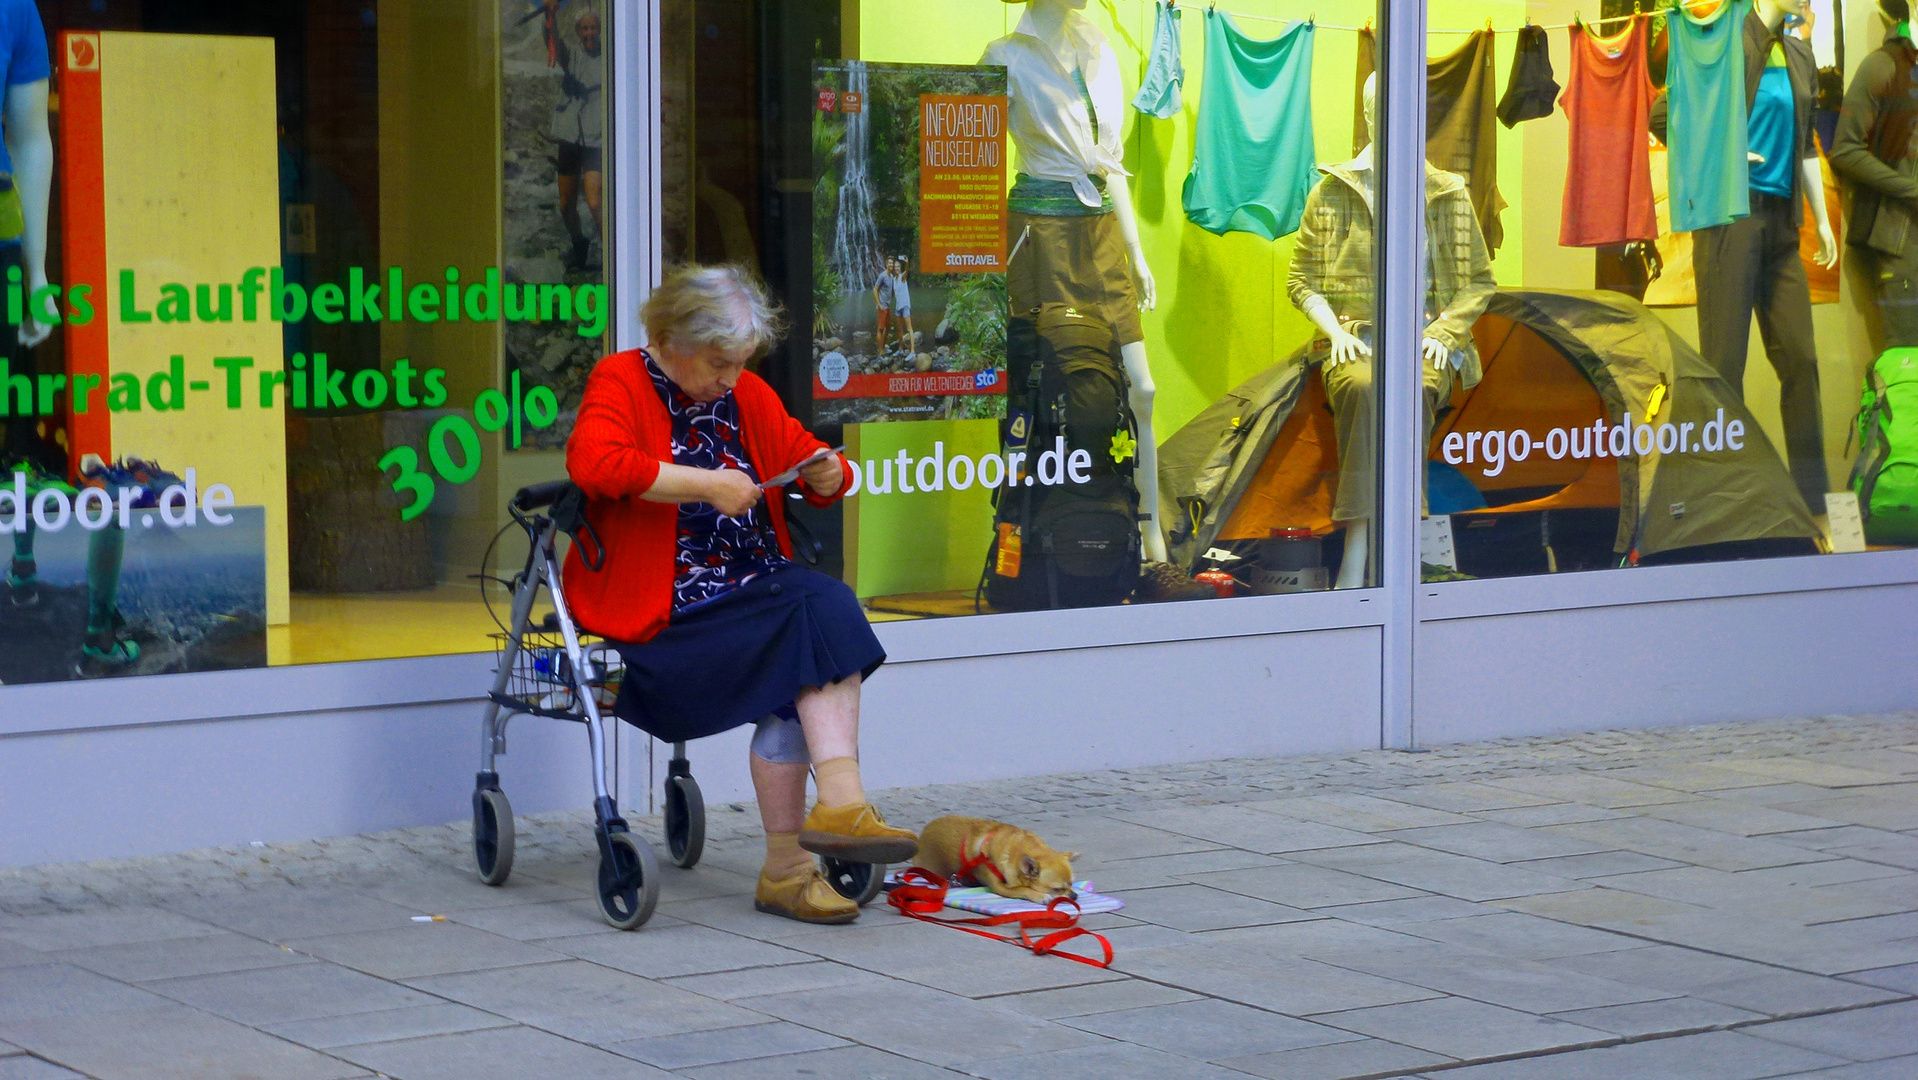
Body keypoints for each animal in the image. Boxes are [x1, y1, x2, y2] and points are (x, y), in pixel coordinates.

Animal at [916, 821, 1081, 905]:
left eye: (1072, 883)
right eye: (1057, 889)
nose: (1074, 896)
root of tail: (922, 835)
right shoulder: (1000, 888)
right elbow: (1022, 889)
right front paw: (1040, 896)